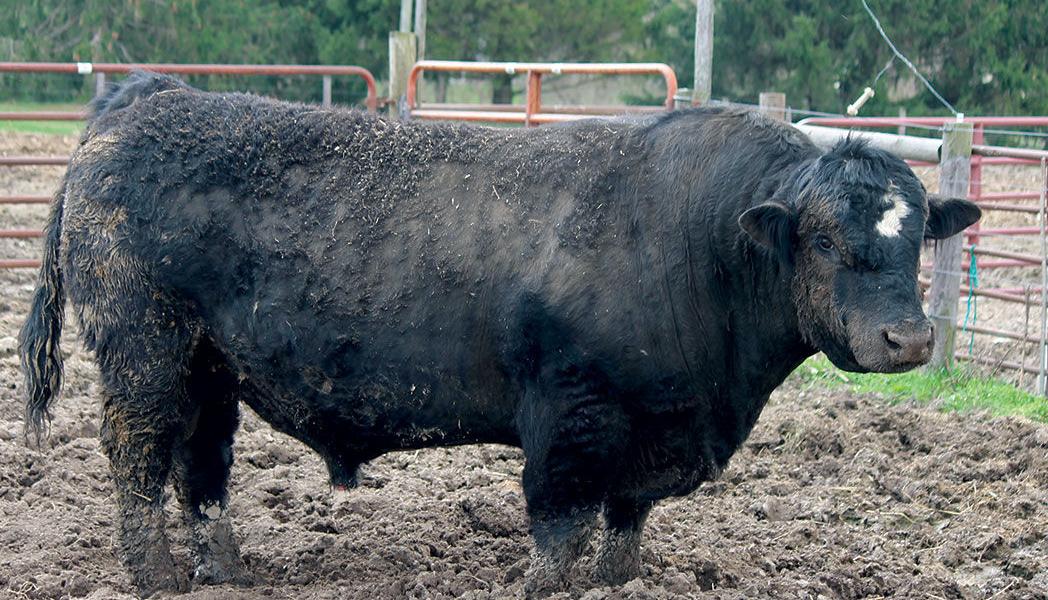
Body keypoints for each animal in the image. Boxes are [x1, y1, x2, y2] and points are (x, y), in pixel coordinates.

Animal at [20, 72, 980, 597]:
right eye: (824, 241)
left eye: (917, 237)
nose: (907, 338)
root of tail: (146, 104)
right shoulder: (571, 414)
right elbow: (560, 530)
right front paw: (542, 585)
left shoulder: (653, 425)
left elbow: (623, 528)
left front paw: (623, 584)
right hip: (144, 353)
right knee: (138, 458)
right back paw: (157, 576)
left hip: (209, 366)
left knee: (203, 466)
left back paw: (226, 571)